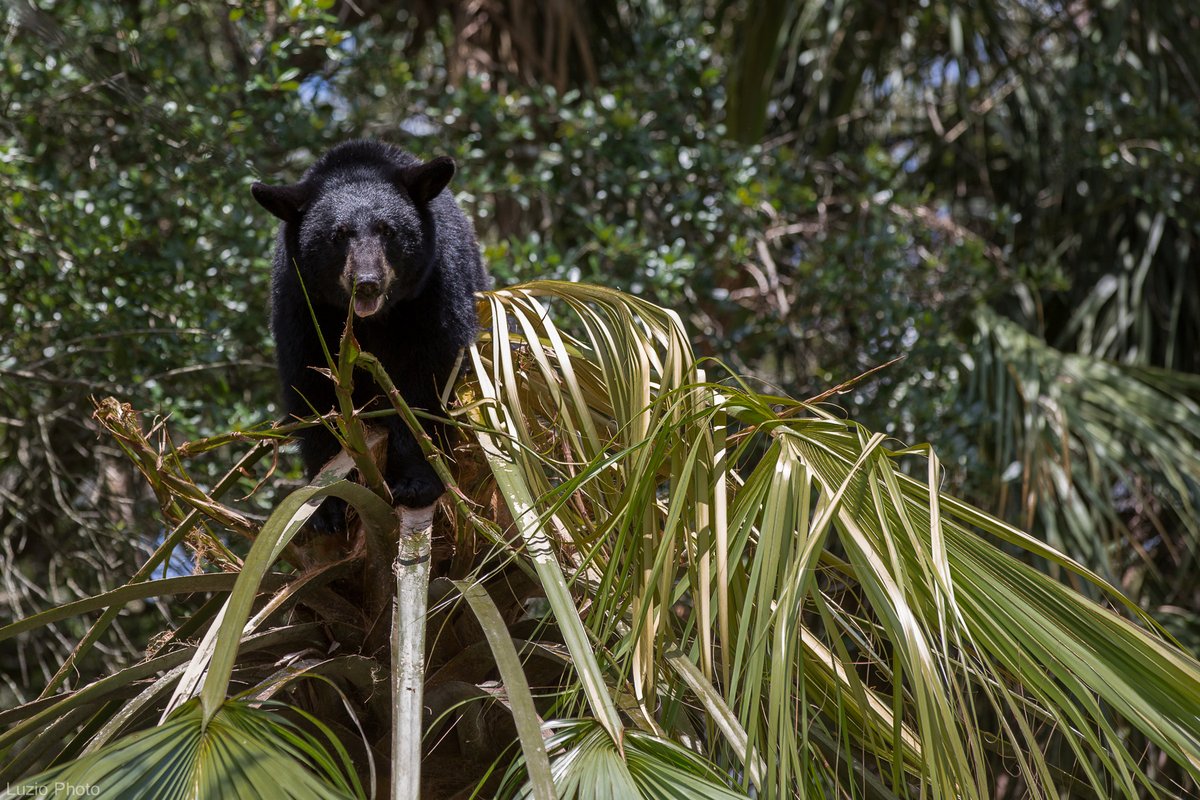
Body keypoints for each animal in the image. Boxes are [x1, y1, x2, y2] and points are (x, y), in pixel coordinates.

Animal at [252, 140, 487, 528]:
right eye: (337, 235)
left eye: (388, 230)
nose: (366, 282)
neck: (372, 321)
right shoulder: (302, 304)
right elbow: (313, 391)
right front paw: (327, 502)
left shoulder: (436, 290)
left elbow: (426, 384)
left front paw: (416, 482)